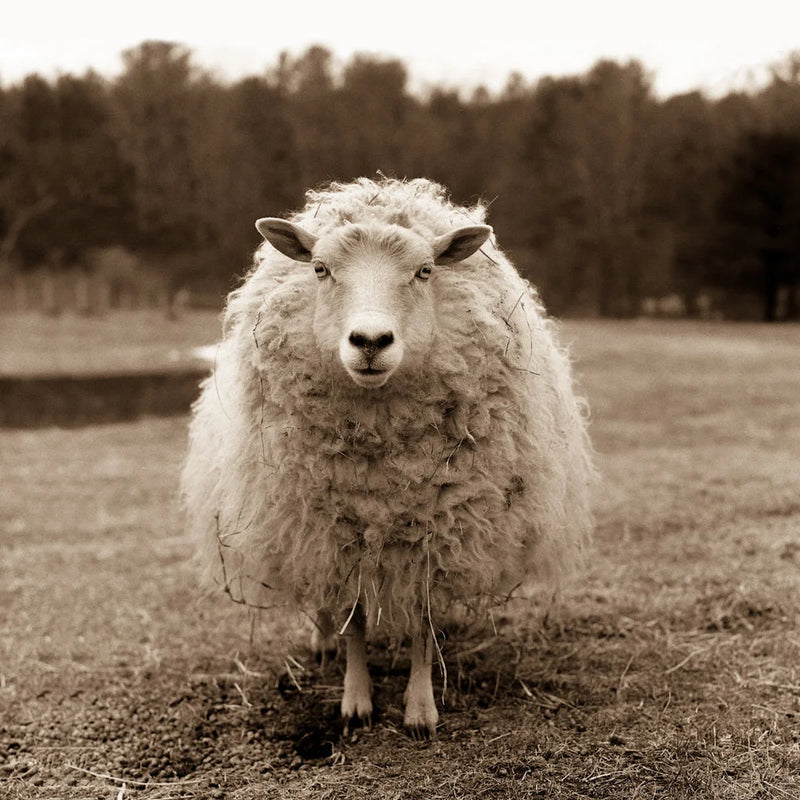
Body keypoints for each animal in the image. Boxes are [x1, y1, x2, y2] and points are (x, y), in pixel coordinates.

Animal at [181, 176, 594, 737]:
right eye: (320, 269)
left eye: (425, 271)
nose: (371, 341)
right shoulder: (337, 534)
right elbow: (354, 618)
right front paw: (356, 700)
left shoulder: (435, 530)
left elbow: (421, 618)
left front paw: (421, 707)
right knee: (324, 597)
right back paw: (324, 642)